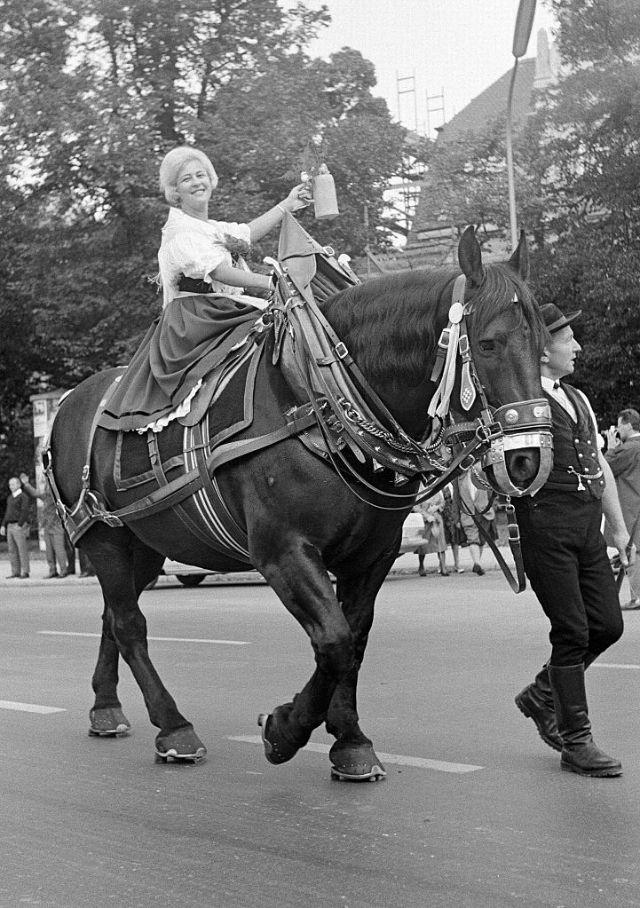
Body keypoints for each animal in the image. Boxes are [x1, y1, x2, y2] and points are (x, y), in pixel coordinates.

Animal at [47, 225, 552, 780]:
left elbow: (354, 640)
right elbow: (333, 641)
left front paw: (350, 740)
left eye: (542, 346)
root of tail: (70, 401)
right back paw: (173, 726)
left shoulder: (371, 556)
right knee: (129, 624)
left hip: (147, 543)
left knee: (113, 615)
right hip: (104, 536)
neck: (317, 399)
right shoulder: (283, 550)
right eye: (487, 344)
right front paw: (284, 730)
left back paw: (106, 706)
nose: (529, 459)